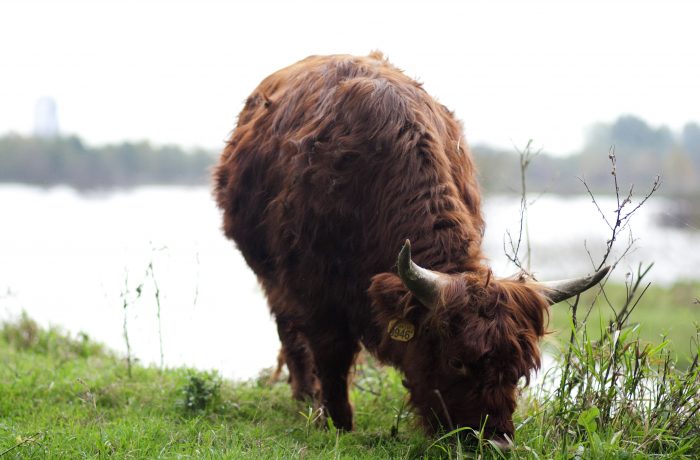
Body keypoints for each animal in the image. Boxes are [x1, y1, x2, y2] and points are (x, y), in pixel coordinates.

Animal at [213, 52, 608, 448]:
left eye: (520, 369)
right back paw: (304, 398)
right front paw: (338, 424)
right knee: (290, 333)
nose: (494, 442)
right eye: (456, 362)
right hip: (270, 275)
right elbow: (332, 358)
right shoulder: (315, 291)